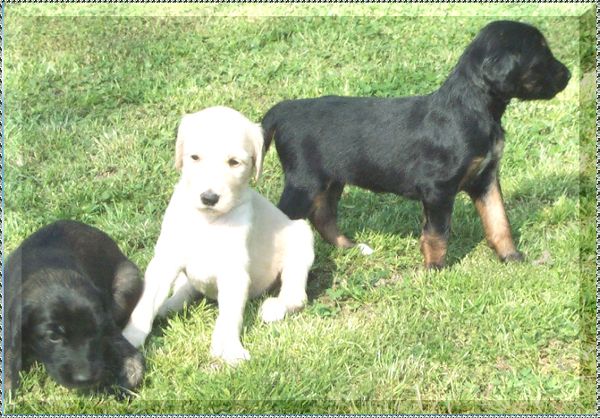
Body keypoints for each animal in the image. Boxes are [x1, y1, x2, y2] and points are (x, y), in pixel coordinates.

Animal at [4, 220, 144, 394]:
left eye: (95, 332)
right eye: (53, 336)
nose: (85, 379)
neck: (50, 274)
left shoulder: (107, 322)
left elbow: (130, 354)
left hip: (127, 283)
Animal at [125, 106, 316, 364]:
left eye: (234, 163)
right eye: (195, 157)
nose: (209, 198)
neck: (208, 220)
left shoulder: (234, 273)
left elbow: (229, 317)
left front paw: (230, 349)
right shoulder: (166, 260)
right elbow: (145, 304)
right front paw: (129, 338)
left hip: (301, 237)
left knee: (296, 294)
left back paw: (275, 308)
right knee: (185, 288)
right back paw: (168, 307)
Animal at [262, 19, 572, 268]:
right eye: (541, 54)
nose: (568, 75)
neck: (473, 108)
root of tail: (284, 110)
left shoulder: (486, 178)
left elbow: (499, 220)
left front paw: (512, 258)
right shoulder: (438, 188)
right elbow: (437, 232)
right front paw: (435, 269)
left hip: (329, 180)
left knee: (323, 216)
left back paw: (351, 247)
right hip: (304, 181)